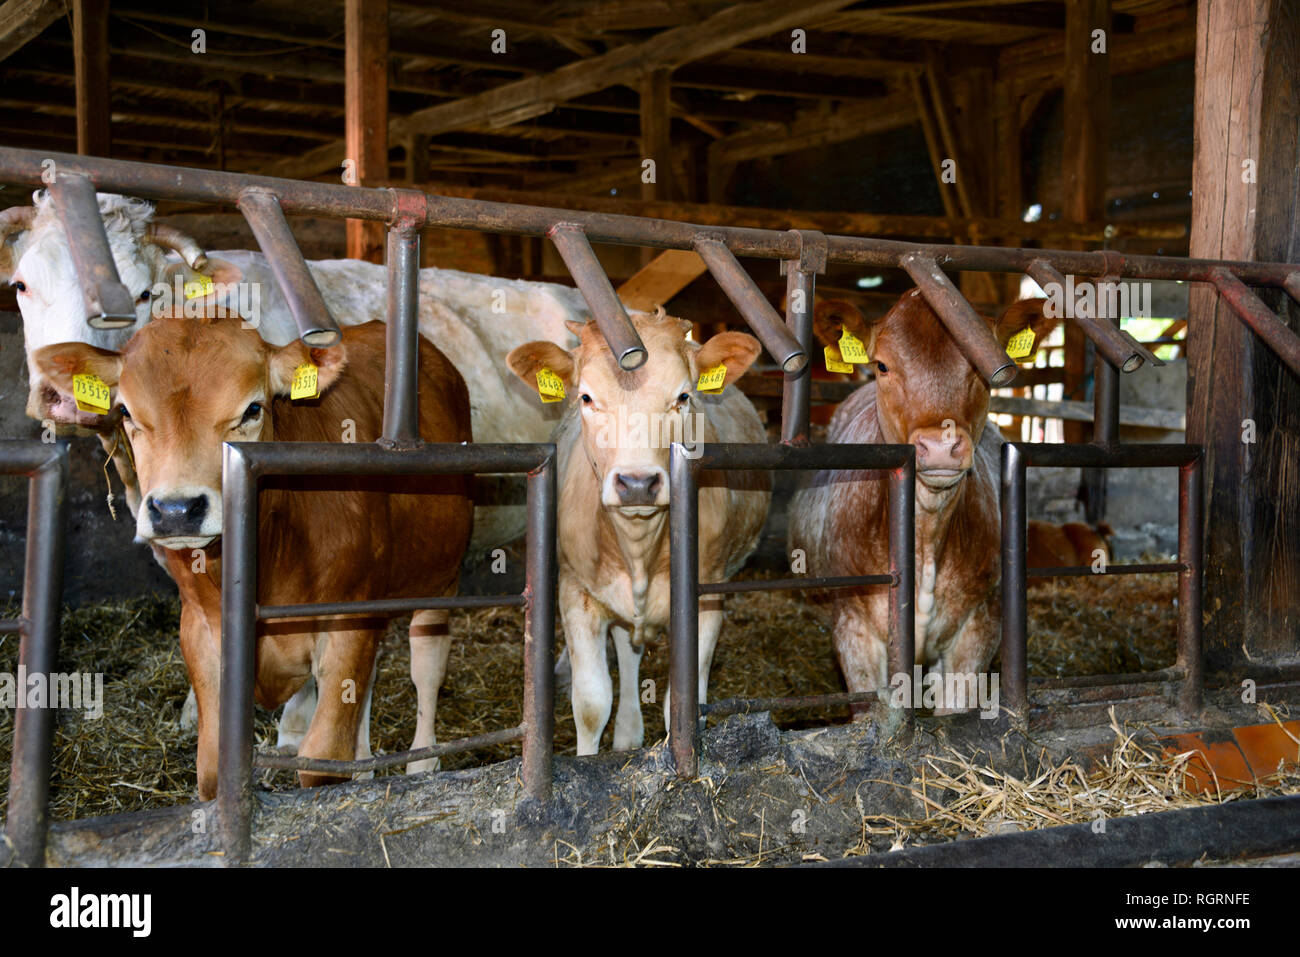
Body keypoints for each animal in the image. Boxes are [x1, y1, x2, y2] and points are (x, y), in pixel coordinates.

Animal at [32, 317, 475, 795]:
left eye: (252, 410)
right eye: (127, 412)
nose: (175, 510)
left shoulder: (348, 620)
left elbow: (321, 756)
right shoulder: (200, 629)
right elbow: (212, 764)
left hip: (441, 576)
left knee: (426, 666)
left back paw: (422, 762)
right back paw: (365, 765)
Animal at [506, 306, 769, 754]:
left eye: (684, 397)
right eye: (586, 397)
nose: (638, 483)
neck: (639, 548)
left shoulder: (707, 599)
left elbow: (683, 705)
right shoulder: (576, 593)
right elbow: (591, 703)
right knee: (628, 650)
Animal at [780, 291, 1055, 712]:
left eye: (982, 367)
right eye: (882, 365)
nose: (941, 445)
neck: (925, 533)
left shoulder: (979, 626)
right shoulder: (854, 630)